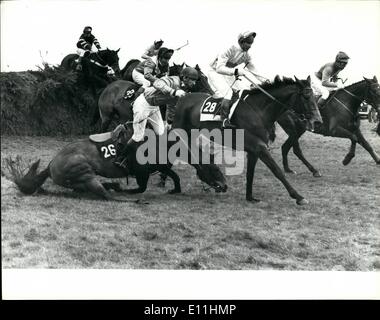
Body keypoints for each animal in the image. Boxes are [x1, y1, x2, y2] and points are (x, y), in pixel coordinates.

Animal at [171, 76, 322, 204]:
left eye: (315, 97)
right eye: (306, 96)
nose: (318, 121)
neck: (259, 112)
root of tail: (183, 97)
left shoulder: (254, 150)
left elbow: (250, 173)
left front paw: (250, 197)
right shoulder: (259, 147)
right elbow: (277, 171)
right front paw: (298, 197)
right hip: (179, 132)